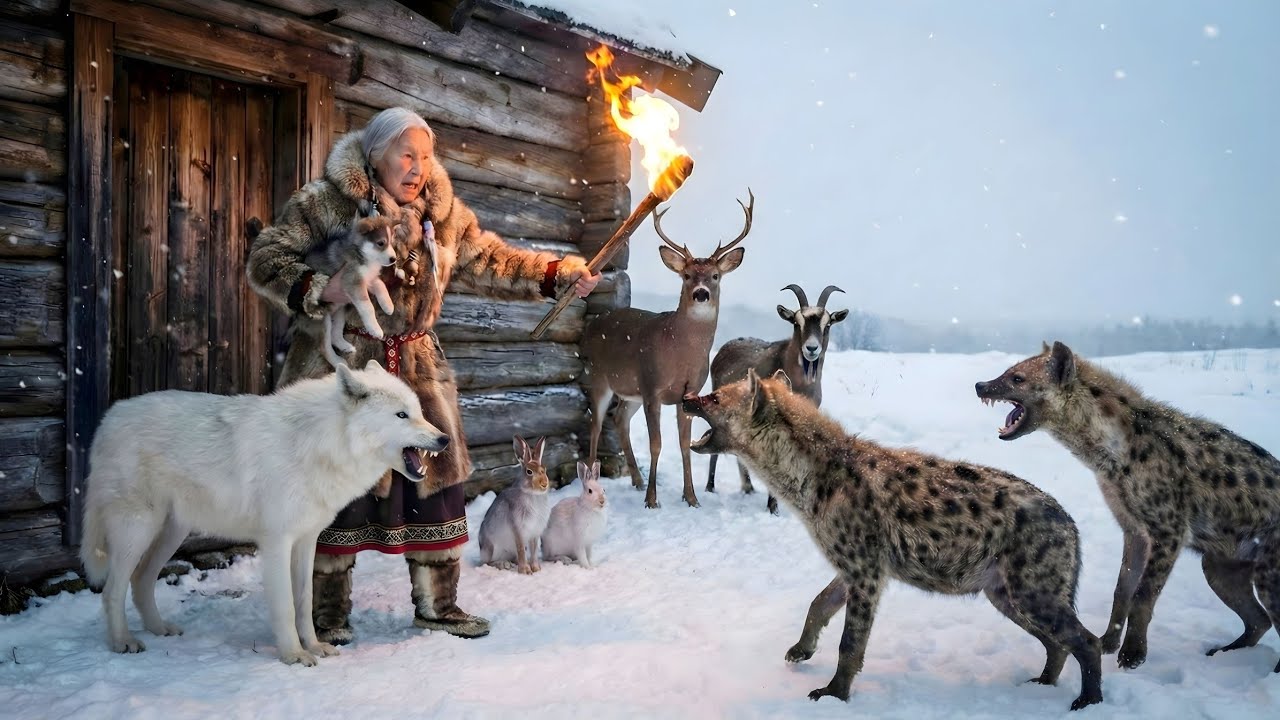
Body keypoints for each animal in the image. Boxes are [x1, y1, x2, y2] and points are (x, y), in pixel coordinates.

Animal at [79, 360, 449, 666]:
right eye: (401, 415)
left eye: (418, 411)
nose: (444, 439)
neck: (320, 443)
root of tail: (108, 419)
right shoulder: (276, 543)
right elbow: (285, 606)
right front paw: (293, 655)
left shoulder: (306, 541)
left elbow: (304, 602)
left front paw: (314, 647)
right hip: (137, 531)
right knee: (113, 590)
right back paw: (123, 642)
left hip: (171, 533)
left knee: (141, 581)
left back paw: (159, 629)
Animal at [684, 369, 1102, 711]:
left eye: (715, 397)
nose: (687, 396)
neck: (809, 480)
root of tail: (1070, 524)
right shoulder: (854, 563)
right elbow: (819, 603)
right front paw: (801, 650)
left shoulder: (865, 569)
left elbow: (851, 640)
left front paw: (833, 694)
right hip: (1005, 591)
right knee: (1057, 640)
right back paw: (1042, 684)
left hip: (1033, 585)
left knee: (1085, 639)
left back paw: (1087, 700)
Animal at [977, 341, 1280, 673]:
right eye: (1006, 372)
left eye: (1017, 378)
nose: (980, 385)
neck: (1110, 453)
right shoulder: (1133, 527)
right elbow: (1123, 588)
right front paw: (1109, 642)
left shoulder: (1169, 529)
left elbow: (1143, 594)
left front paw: (1132, 655)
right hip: (1221, 564)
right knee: (1258, 619)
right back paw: (1226, 652)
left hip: (1269, 566)